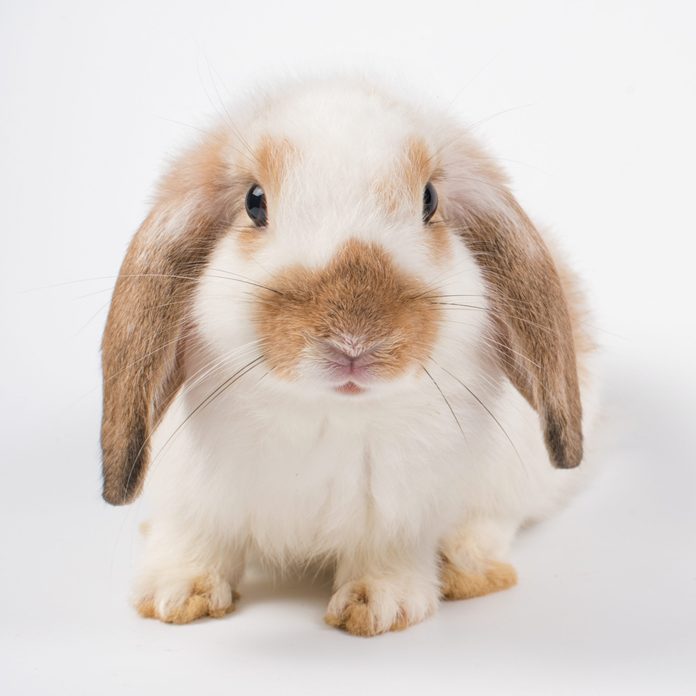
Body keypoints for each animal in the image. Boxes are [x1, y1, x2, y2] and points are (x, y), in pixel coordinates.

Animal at [100, 76, 598, 636]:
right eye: (254, 202)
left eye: (429, 200)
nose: (355, 340)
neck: (326, 413)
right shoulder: (192, 500)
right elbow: (193, 539)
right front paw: (177, 595)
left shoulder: (401, 513)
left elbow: (388, 555)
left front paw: (379, 604)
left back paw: (468, 569)